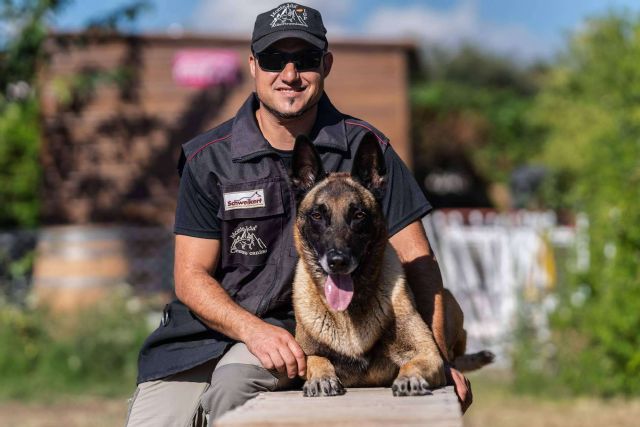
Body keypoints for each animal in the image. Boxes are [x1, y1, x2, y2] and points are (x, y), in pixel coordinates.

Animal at [290, 133, 496, 398]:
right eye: (317, 215)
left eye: (358, 215)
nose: (337, 262)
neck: (349, 315)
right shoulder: (303, 356)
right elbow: (316, 359)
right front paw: (321, 378)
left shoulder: (428, 354)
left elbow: (414, 363)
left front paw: (409, 379)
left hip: (448, 300)